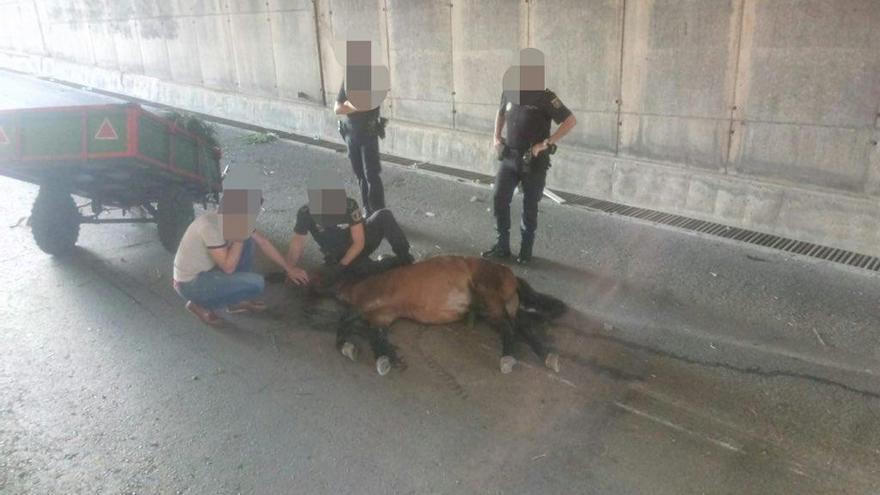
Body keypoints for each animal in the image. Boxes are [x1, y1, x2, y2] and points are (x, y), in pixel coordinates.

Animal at [316, 256, 564, 376]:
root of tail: (509, 273)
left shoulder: (366, 306)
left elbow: (343, 325)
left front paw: (348, 347)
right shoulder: (380, 318)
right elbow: (374, 337)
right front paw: (386, 358)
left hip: (490, 300)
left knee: (510, 328)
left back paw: (508, 358)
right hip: (499, 307)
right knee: (522, 327)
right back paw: (547, 357)